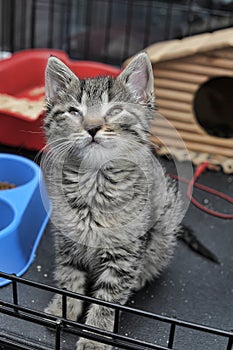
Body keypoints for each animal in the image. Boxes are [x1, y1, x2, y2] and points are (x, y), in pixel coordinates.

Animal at [42, 52, 183, 350]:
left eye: (115, 110)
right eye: (74, 111)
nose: (93, 127)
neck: (94, 184)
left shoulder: (123, 256)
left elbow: (108, 298)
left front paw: (94, 337)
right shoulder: (68, 242)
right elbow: (69, 278)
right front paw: (63, 309)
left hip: (166, 223)